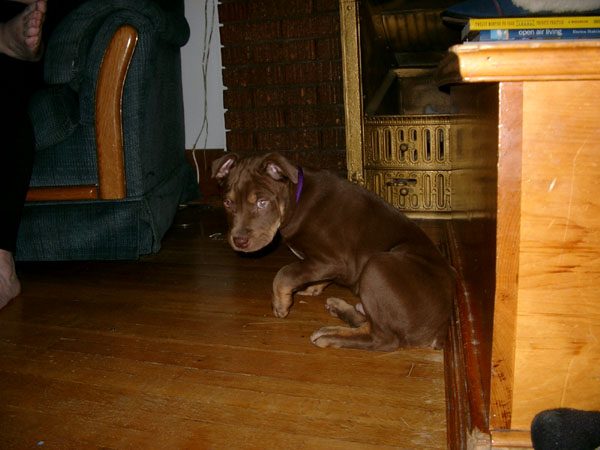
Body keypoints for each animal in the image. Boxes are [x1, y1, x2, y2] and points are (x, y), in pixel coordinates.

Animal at [211, 152, 455, 351]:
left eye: (262, 202)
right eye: (227, 203)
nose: (239, 240)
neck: (297, 200)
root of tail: (440, 330)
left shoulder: (334, 261)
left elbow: (285, 272)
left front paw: (281, 303)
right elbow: (306, 273)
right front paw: (311, 287)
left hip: (377, 265)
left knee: (383, 339)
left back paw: (330, 335)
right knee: (368, 323)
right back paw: (339, 309)